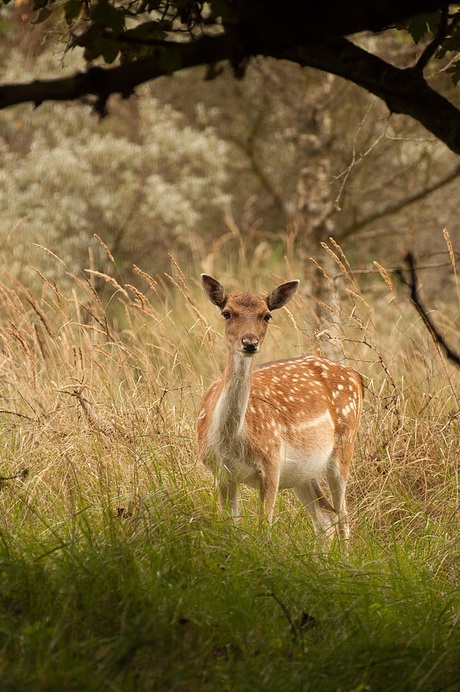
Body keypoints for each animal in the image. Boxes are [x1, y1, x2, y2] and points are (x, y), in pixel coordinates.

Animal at [197, 274, 362, 540]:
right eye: (227, 313)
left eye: (267, 315)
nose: (249, 343)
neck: (231, 440)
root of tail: (357, 377)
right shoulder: (220, 473)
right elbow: (230, 525)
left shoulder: (271, 463)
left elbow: (264, 527)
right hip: (302, 474)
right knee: (324, 520)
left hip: (344, 447)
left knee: (343, 517)